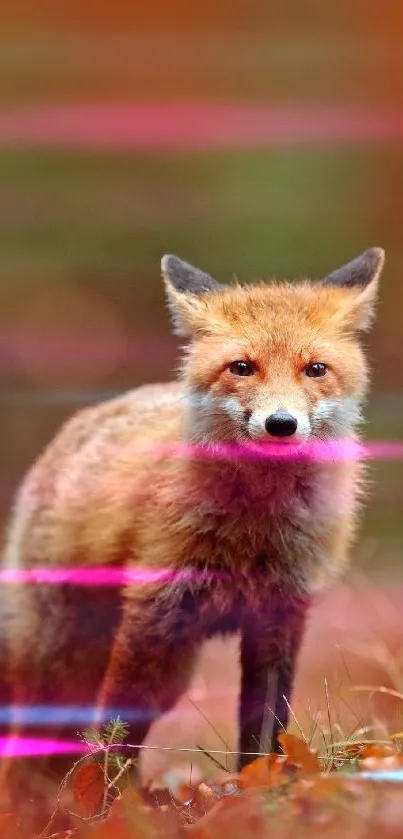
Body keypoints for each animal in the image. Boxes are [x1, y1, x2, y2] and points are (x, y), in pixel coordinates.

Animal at [0, 246, 386, 824]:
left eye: (315, 369)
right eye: (242, 367)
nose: (281, 423)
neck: (255, 534)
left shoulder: (280, 613)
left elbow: (263, 733)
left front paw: (257, 798)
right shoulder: (154, 613)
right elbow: (116, 732)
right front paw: (111, 813)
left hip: (168, 672)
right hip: (69, 656)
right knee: (36, 740)